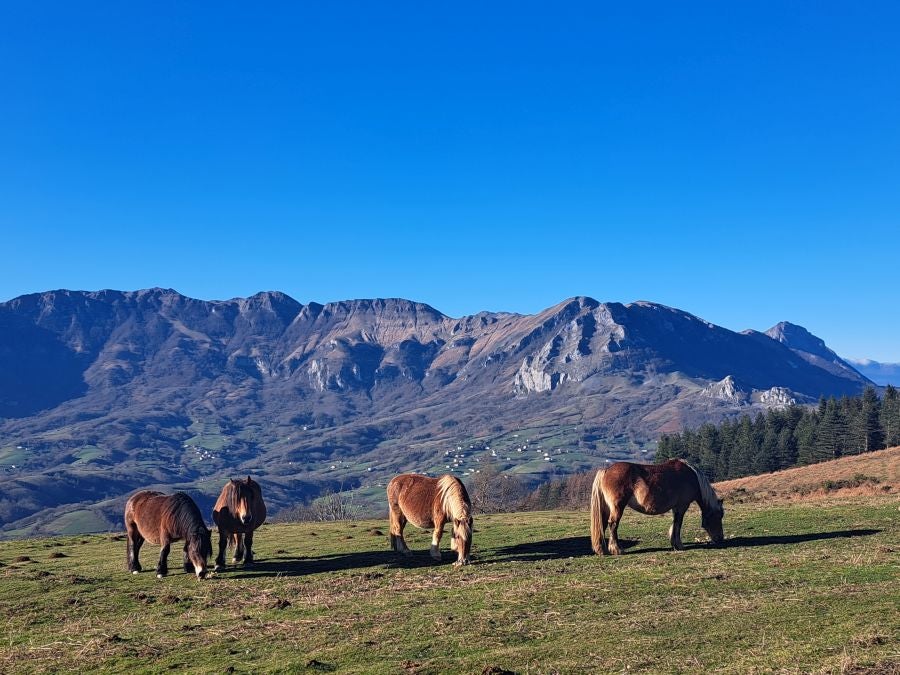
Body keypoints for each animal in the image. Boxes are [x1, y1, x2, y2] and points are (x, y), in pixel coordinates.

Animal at [592, 462, 724, 556]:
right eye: (719, 517)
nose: (720, 539)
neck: (692, 477)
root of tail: (606, 470)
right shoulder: (682, 506)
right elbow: (678, 524)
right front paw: (679, 545)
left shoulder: (676, 508)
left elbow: (675, 524)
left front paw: (675, 544)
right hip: (617, 507)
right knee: (613, 524)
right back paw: (617, 549)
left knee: (603, 524)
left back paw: (603, 550)